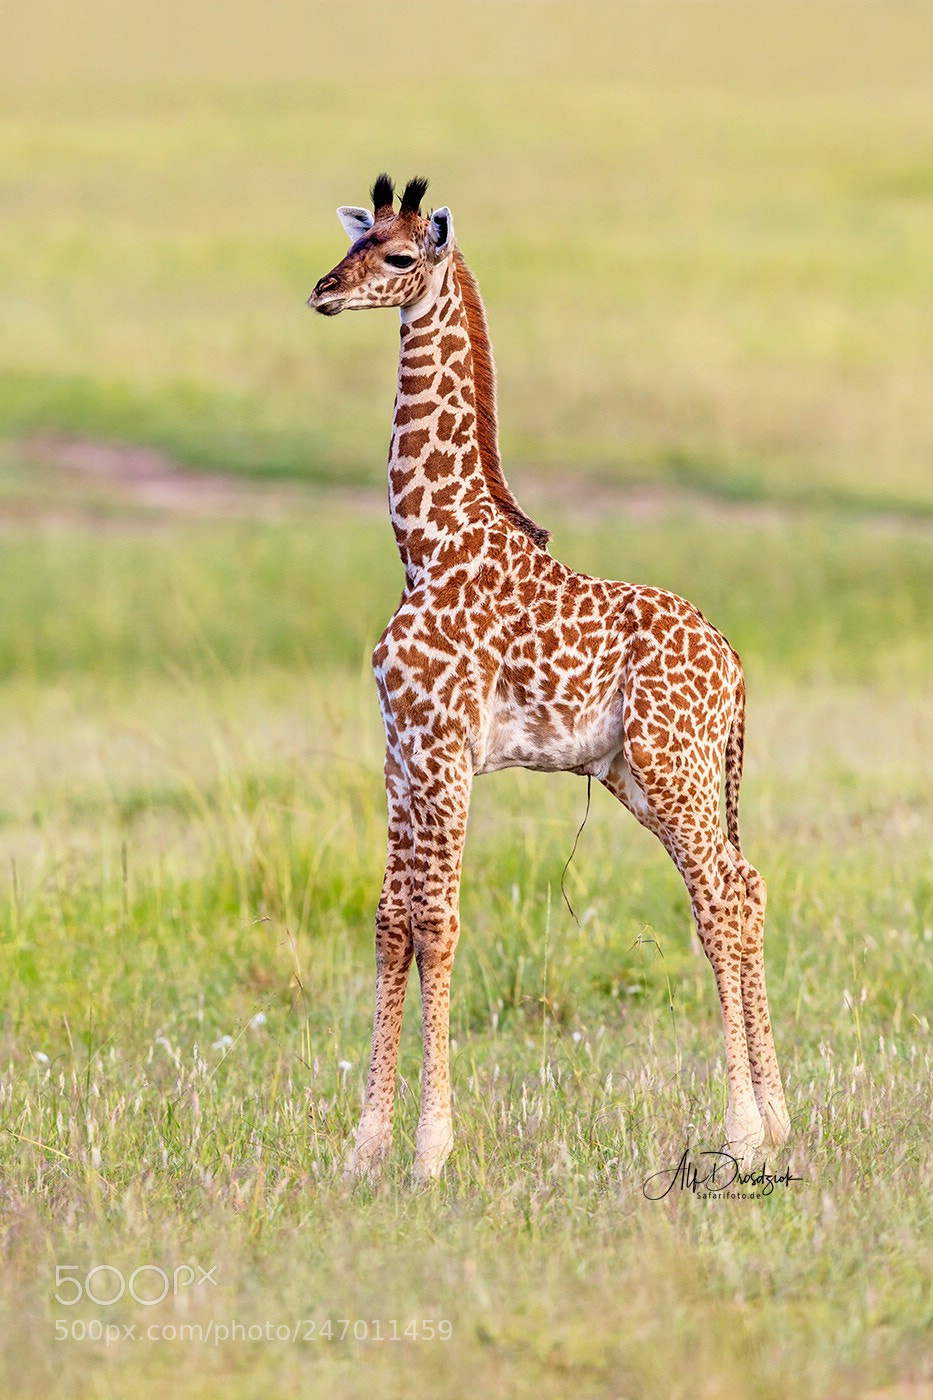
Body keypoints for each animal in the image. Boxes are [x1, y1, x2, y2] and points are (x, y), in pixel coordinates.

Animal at [308, 174, 791, 1182]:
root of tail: (733, 663)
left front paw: (430, 1152)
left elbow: (438, 922)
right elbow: (389, 920)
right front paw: (362, 1150)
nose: (323, 292)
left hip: (674, 767)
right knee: (747, 882)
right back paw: (778, 1124)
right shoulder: (400, 750)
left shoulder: (444, 748)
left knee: (721, 899)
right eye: (353, 240)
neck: (427, 544)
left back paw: (741, 1134)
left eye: (397, 255)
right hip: (640, 776)